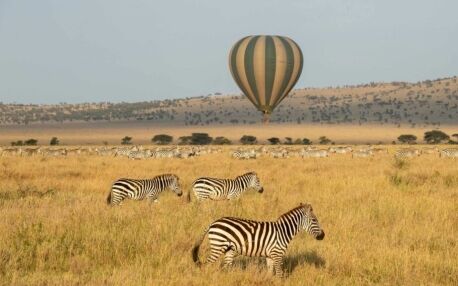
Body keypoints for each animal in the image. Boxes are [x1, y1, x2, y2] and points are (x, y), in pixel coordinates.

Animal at [191, 202, 324, 276]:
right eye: (314, 220)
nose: (323, 236)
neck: (283, 232)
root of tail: (213, 223)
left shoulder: (270, 255)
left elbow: (270, 273)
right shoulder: (277, 254)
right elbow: (279, 274)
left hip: (229, 249)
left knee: (226, 267)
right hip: (218, 246)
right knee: (207, 264)